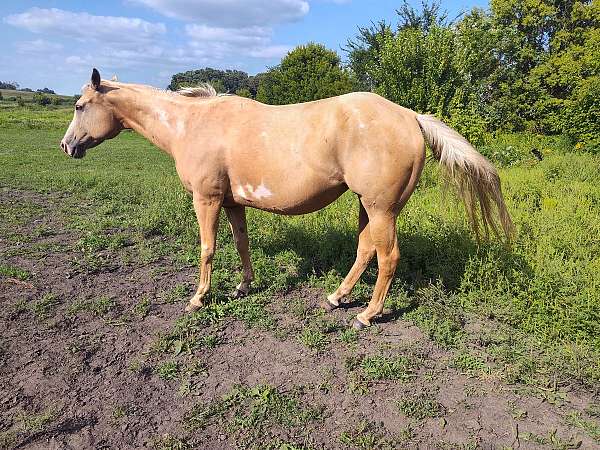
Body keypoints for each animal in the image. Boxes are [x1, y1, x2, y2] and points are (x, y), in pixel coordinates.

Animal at [59, 68, 510, 328]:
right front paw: (243, 287)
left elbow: (207, 248)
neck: (193, 124)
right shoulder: (233, 203)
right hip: (368, 207)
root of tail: (410, 116)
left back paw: (366, 315)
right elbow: (241, 243)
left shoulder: (207, 200)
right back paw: (337, 298)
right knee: (365, 250)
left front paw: (198, 299)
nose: (67, 146)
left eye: (80, 106)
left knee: (387, 257)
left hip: (381, 208)